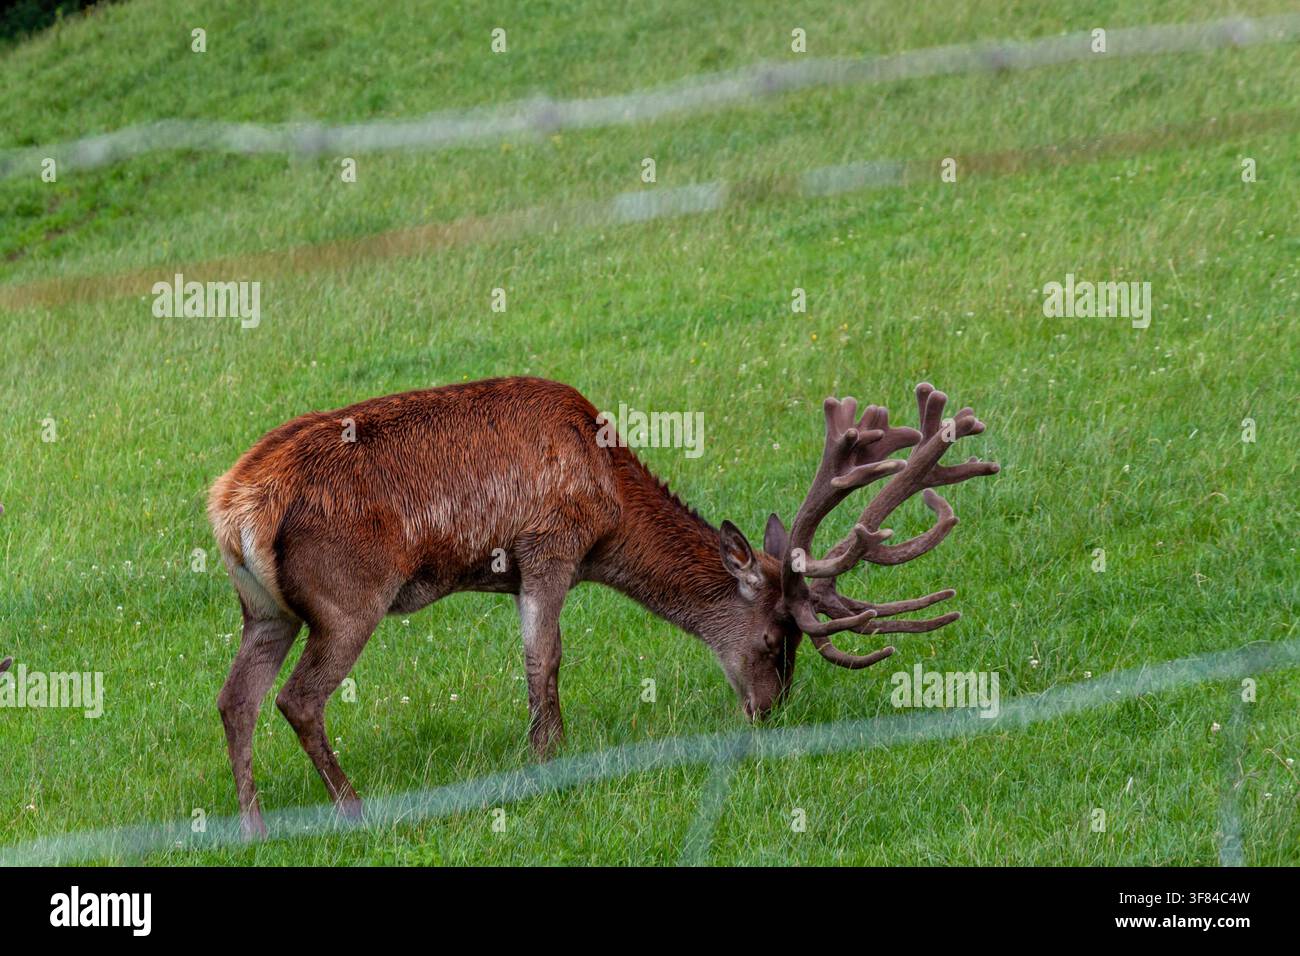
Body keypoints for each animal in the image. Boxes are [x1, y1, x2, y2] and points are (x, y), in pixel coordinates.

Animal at [209, 376, 997, 835]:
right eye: (776, 639)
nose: (767, 711)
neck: (611, 502)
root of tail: (233, 505)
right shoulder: (549, 545)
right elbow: (545, 663)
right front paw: (545, 763)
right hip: (349, 598)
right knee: (298, 699)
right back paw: (354, 810)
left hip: (266, 611)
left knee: (235, 698)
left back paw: (253, 829)